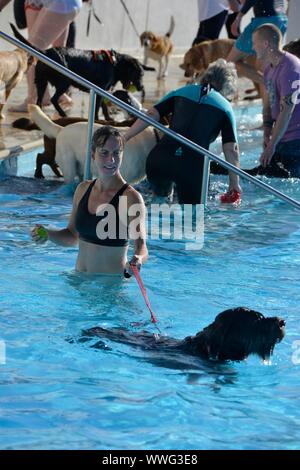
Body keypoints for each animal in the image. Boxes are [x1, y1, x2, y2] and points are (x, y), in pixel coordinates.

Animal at [9, 24, 155, 120]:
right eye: (139, 74)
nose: (141, 87)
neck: (115, 63)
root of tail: (46, 52)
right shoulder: (101, 89)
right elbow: (98, 107)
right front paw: (98, 119)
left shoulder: (103, 90)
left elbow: (103, 106)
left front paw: (108, 118)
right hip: (64, 82)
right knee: (53, 99)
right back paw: (62, 114)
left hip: (41, 82)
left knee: (39, 101)